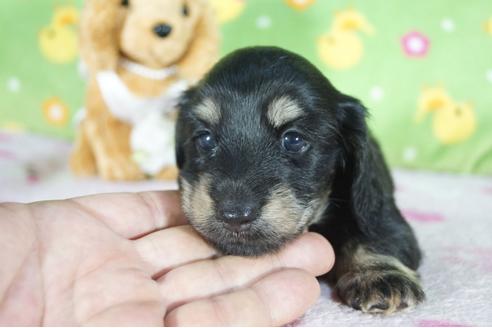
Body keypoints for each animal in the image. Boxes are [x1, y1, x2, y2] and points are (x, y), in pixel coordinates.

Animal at [175, 46, 424, 316]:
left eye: (293, 139)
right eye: (205, 138)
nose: (235, 215)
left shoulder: (380, 210)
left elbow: (376, 234)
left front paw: (380, 276)